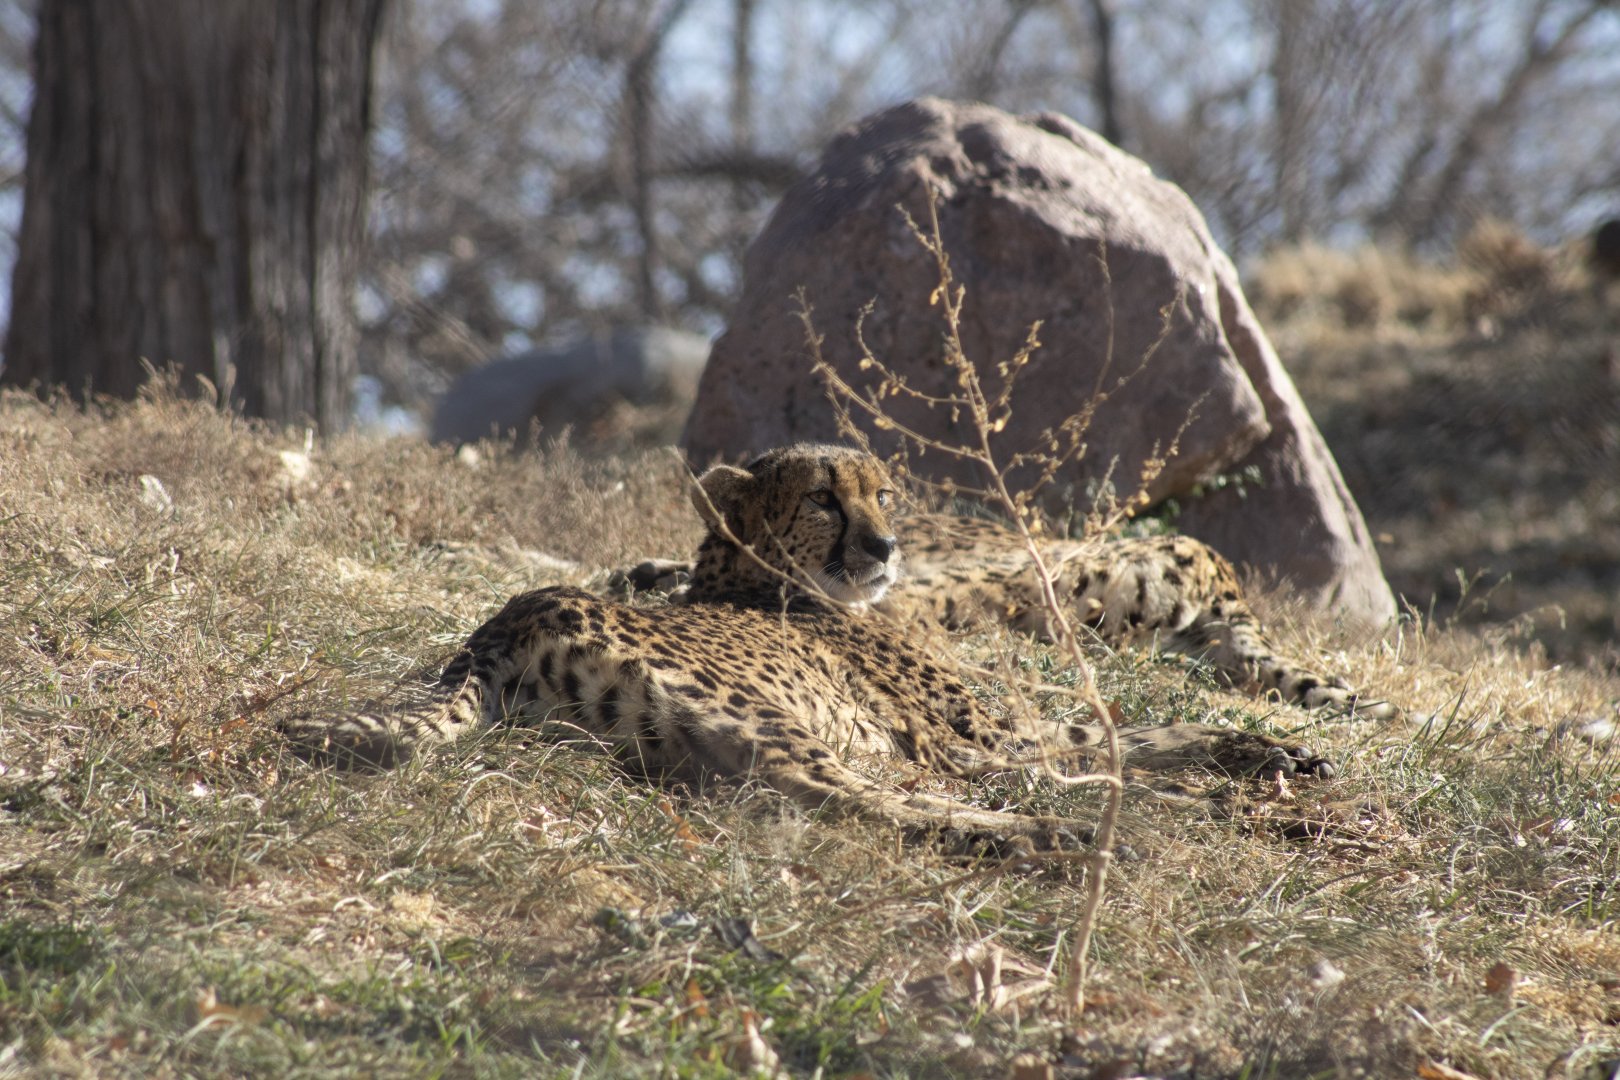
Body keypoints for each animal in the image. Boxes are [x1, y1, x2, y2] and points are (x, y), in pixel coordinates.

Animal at [285, 444, 1334, 857]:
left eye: (885, 493)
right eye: (826, 498)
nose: (887, 546)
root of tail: (512, 621)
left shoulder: (969, 742)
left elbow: (1131, 736)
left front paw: (1266, 754)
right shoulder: (978, 739)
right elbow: (1111, 742)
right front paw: (1224, 776)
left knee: (895, 801)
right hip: (769, 726)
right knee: (865, 804)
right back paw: (1061, 835)